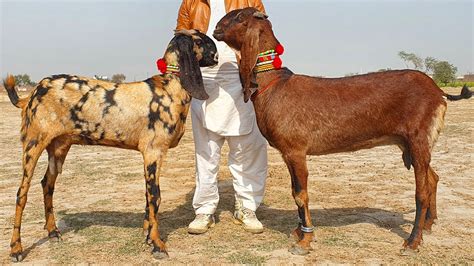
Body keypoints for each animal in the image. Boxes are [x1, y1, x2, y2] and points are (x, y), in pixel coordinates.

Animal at [3, 29, 218, 262]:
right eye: (201, 40)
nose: (216, 56)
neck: (168, 88)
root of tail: (32, 93)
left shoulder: (148, 156)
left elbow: (147, 195)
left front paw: (147, 236)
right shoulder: (154, 151)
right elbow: (155, 196)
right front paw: (157, 244)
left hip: (58, 147)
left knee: (47, 184)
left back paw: (53, 232)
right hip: (33, 143)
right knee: (21, 193)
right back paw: (16, 248)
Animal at [214, 7, 470, 255]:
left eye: (239, 16)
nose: (215, 29)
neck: (275, 84)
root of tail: (439, 92)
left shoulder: (296, 151)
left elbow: (300, 194)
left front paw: (305, 240)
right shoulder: (287, 154)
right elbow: (294, 192)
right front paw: (298, 232)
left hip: (418, 138)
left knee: (422, 191)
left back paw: (412, 242)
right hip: (409, 143)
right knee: (433, 178)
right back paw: (428, 225)